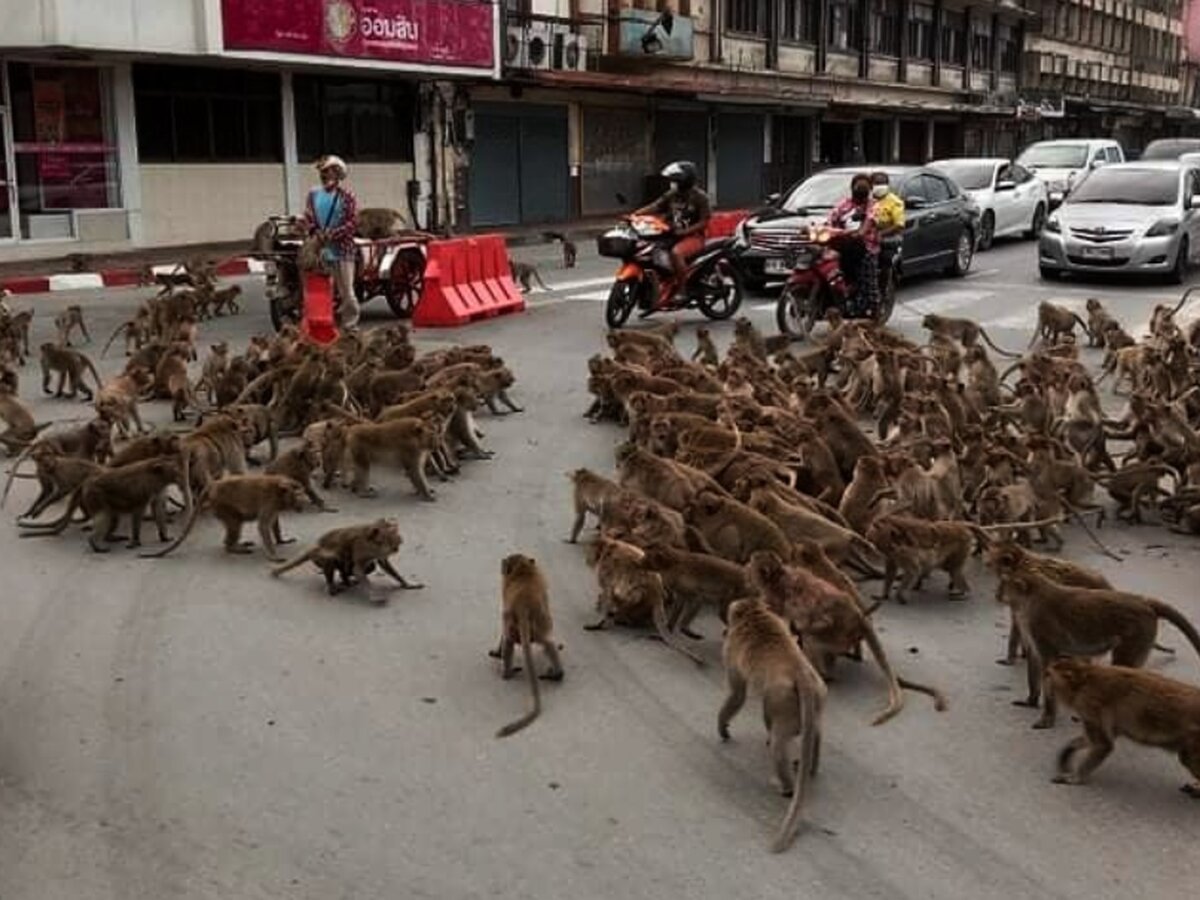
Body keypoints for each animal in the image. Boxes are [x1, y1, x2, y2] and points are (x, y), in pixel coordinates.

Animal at [141, 475, 309, 561]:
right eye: (298, 493)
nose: (304, 499)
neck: (280, 491)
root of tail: (213, 485)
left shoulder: (276, 504)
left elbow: (273, 522)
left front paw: (281, 540)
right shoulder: (271, 500)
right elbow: (263, 525)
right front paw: (274, 555)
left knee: (236, 522)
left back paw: (235, 544)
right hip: (221, 504)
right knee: (235, 522)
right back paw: (231, 547)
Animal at [272, 518, 422, 602]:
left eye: (396, 538)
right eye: (390, 540)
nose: (397, 547)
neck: (372, 543)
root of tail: (314, 546)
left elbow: (383, 564)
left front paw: (407, 584)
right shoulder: (362, 547)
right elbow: (358, 568)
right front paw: (374, 595)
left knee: (366, 566)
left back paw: (346, 579)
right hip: (318, 557)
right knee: (330, 558)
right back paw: (333, 587)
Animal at [487, 556, 561, 739]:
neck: (523, 569)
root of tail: (524, 606)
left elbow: (504, 632)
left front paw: (497, 653)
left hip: (519, 623)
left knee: (508, 639)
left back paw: (507, 673)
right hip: (541, 623)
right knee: (548, 642)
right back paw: (557, 674)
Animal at [710, 595, 825, 854]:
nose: (725, 628)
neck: (755, 614)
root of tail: (801, 674)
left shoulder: (731, 648)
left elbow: (738, 693)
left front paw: (722, 727)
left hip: (782, 702)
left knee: (778, 744)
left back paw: (787, 787)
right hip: (819, 696)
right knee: (813, 732)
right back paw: (811, 764)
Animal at [1046, 657, 1200, 796]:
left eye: (1048, 674)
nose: (1044, 674)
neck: (1083, 682)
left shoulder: (1089, 704)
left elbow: (1103, 745)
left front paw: (1076, 778)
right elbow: (1097, 740)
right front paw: (1068, 750)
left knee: (1188, 758)